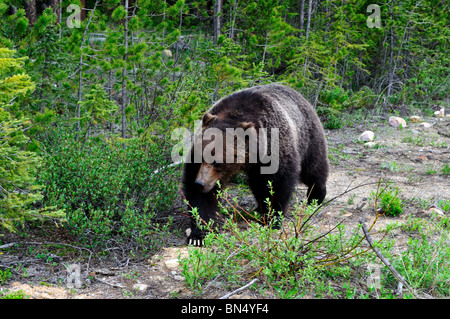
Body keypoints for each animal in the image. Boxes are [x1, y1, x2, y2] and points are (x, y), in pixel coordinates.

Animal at [181, 84, 328, 246]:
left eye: (217, 161)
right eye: (200, 157)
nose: (200, 183)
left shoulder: (276, 144)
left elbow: (278, 183)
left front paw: (273, 219)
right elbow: (200, 199)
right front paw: (198, 235)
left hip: (308, 134)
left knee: (313, 167)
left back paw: (316, 195)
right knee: (257, 184)